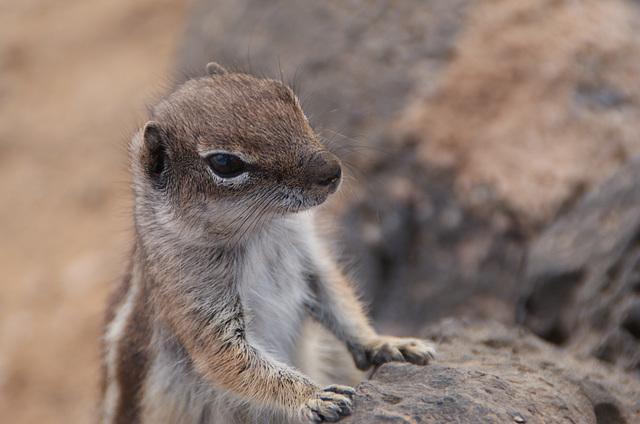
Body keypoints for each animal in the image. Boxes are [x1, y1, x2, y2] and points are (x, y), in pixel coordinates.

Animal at [100, 63, 436, 424]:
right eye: (224, 163)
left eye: (288, 97)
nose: (331, 170)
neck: (262, 230)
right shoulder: (193, 299)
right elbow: (238, 364)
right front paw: (314, 396)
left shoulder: (310, 258)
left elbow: (339, 299)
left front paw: (387, 343)